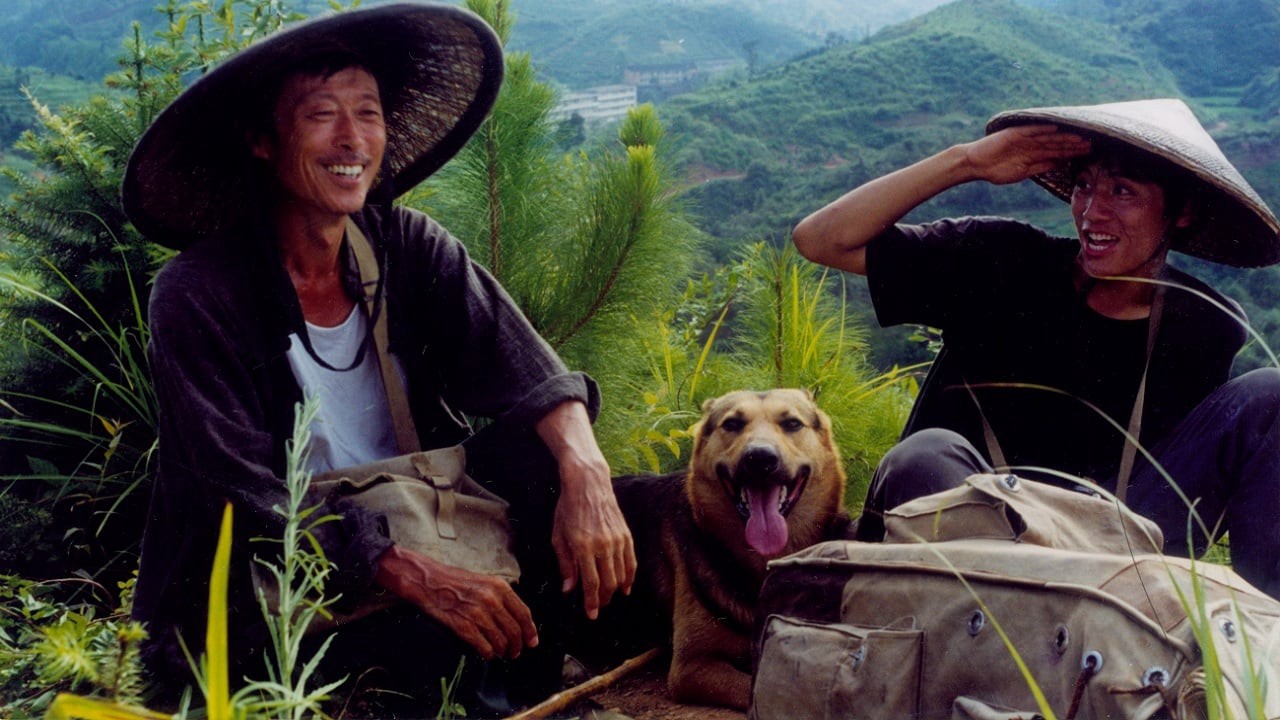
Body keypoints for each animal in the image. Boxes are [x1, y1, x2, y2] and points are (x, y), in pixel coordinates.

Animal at [593, 386, 855, 707]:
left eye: (792, 423)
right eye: (732, 424)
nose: (760, 459)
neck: (764, 561)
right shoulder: (691, 667)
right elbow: (755, 692)